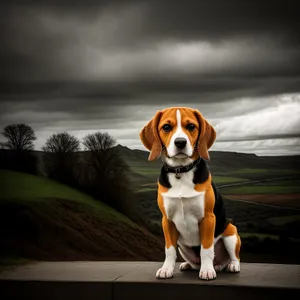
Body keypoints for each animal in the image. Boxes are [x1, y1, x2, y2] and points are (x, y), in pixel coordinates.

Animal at [139, 106, 241, 280]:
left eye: (191, 126)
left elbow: (206, 249)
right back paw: (189, 265)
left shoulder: (208, 218)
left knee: (233, 257)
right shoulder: (167, 221)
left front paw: (207, 270)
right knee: (193, 261)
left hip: (231, 232)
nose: (180, 142)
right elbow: (169, 250)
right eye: (166, 127)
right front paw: (166, 269)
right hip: (182, 245)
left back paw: (229, 266)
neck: (181, 171)